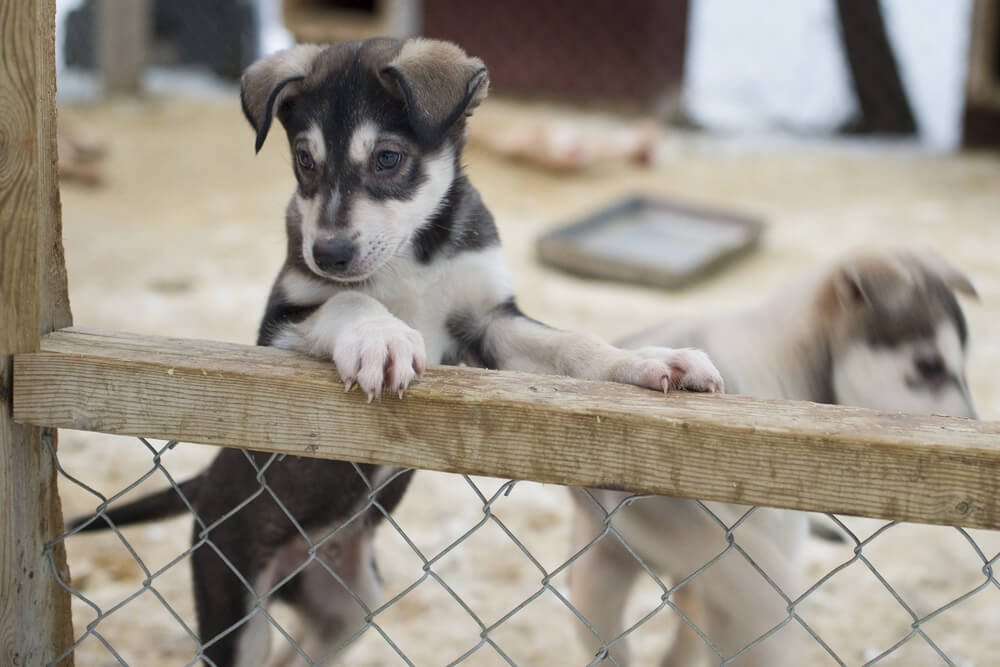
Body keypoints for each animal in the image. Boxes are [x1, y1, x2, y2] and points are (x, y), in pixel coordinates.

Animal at [72, 37, 728, 667]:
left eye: (388, 159)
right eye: (305, 161)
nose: (328, 254)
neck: (413, 254)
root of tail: (208, 482)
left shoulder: (488, 325)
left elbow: (572, 343)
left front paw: (652, 362)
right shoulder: (278, 328)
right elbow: (348, 302)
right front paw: (382, 338)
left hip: (347, 606)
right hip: (233, 599)